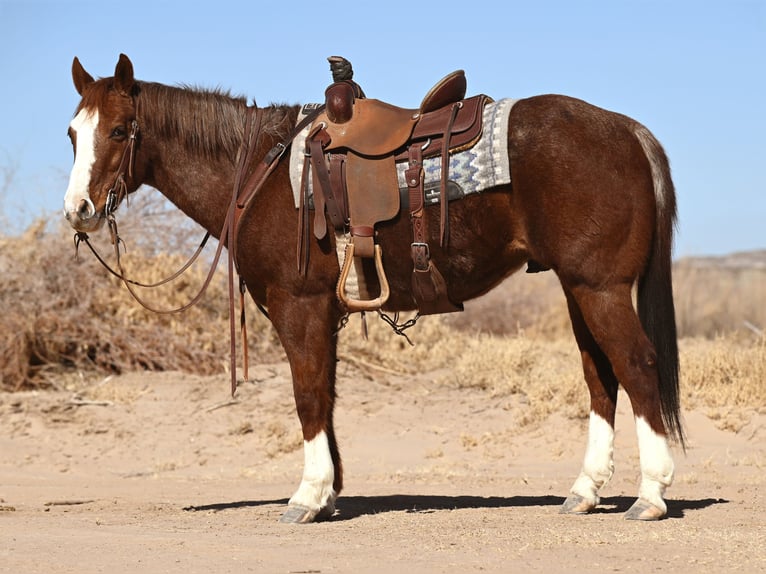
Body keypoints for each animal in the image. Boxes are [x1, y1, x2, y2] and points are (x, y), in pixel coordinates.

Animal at [61, 55, 684, 528]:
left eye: (118, 130)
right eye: (72, 133)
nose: (78, 210)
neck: (262, 171)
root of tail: (629, 132)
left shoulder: (299, 307)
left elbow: (308, 395)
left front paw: (308, 496)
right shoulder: (324, 313)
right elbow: (328, 396)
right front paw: (330, 493)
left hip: (600, 287)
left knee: (637, 366)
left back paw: (651, 495)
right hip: (579, 288)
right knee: (601, 378)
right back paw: (584, 491)